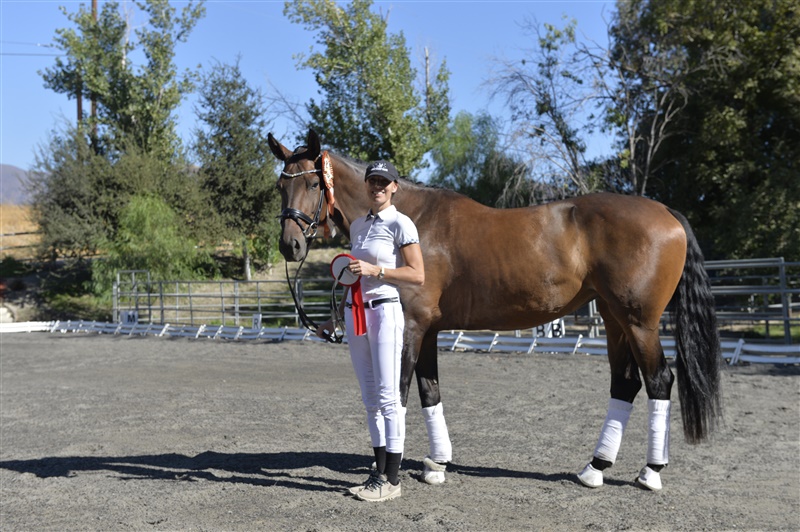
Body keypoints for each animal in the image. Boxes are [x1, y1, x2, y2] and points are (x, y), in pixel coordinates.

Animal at [268, 129, 722, 491]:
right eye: (279, 186)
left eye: (314, 182)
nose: (290, 244)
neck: (412, 220)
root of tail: (666, 212)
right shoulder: (429, 330)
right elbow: (430, 392)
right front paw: (437, 464)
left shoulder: (411, 326)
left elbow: (399, 392)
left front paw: (387, 472)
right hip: (614, 320)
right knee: (625, 384)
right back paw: (594, 468)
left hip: (640, 322)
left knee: (659, 381)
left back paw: (650, 472)